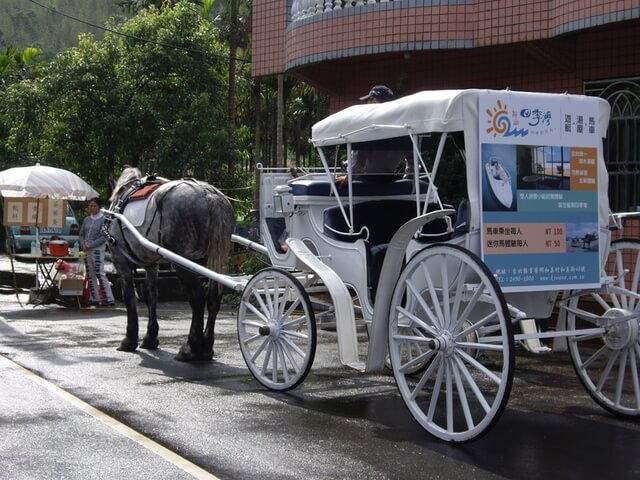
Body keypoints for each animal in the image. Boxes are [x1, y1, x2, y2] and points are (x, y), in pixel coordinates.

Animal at [105, 168, 235, 360]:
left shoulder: (120, 260)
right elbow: (151, 295)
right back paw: (206, 347)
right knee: (213, 299)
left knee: (197, 299)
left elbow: (129, 297)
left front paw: (129, 339)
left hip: (183, 263)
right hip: (215, 260)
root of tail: (210, 196)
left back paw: (191, 347)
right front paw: (150, 337)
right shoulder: (151, 264)